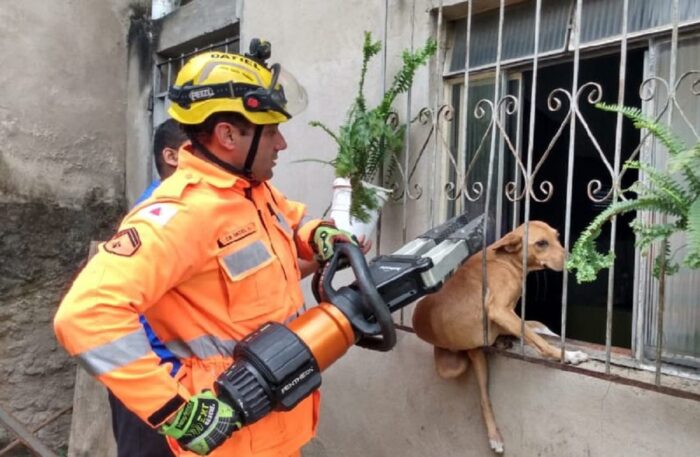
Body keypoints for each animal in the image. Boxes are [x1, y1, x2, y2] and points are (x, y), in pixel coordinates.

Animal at [412, 221, 588, 452]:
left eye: (558, 236)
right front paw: (568, 355)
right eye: (541, 243)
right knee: (483, 399)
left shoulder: (506, 318)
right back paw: (494, 437)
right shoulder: (499, 311)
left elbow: (538, 328)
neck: (508, 260)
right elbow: (538, 340)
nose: (574, 258)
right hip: (453, 367)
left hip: (477, 354)